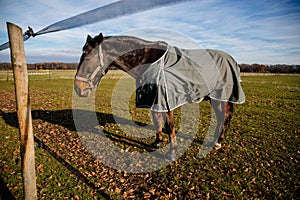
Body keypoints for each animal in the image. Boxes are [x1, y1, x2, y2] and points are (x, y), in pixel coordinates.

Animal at [74, 33, 245, 161]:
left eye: (88, 57)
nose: (79, 88)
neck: (149, 61)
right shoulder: (154, 99)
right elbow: (157, 121)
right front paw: (157, 142)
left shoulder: (167, 99)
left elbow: (169, 126)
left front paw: (172, 152)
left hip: (220, 97)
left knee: (224, 117)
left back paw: (218, 142)